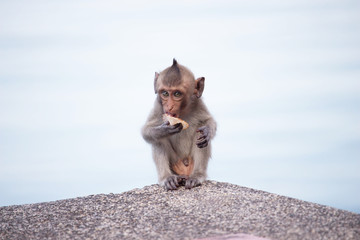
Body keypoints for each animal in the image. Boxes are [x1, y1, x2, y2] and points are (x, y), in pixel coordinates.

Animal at [141, 59, 217, 190]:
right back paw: (167, 178)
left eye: (177, 94)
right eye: (165, 93)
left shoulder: (198, 102)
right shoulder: (158, 105)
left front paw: (207, 131)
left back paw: (197, 176)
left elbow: (208, 121)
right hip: (174, 163)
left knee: (199, 133)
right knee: (157, 140)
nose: (169, 106)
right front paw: (164, 130)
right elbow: (146, 131)